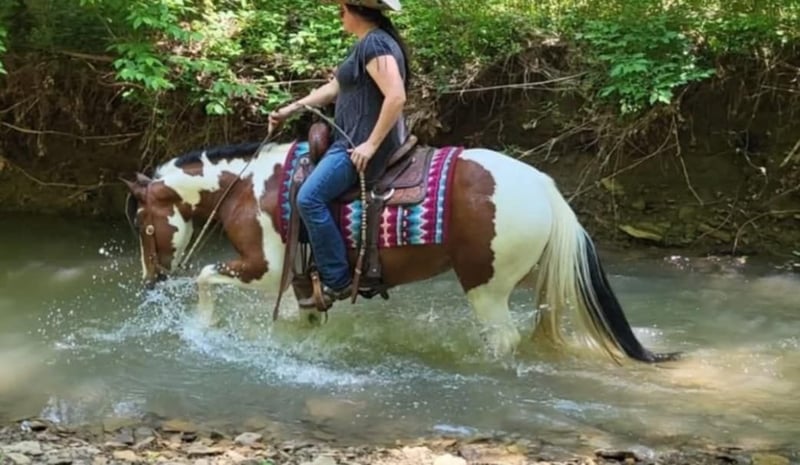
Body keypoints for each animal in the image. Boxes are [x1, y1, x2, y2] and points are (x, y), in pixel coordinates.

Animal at [122, 139, 680, 364]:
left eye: (145, 226)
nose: (150, 281)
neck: (248, 187)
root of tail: (544, 188)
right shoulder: (302, 284)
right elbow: (308, 321)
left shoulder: (265, 268)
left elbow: (204, 276)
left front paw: (203, 328)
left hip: (486, 286)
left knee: (501, 339)